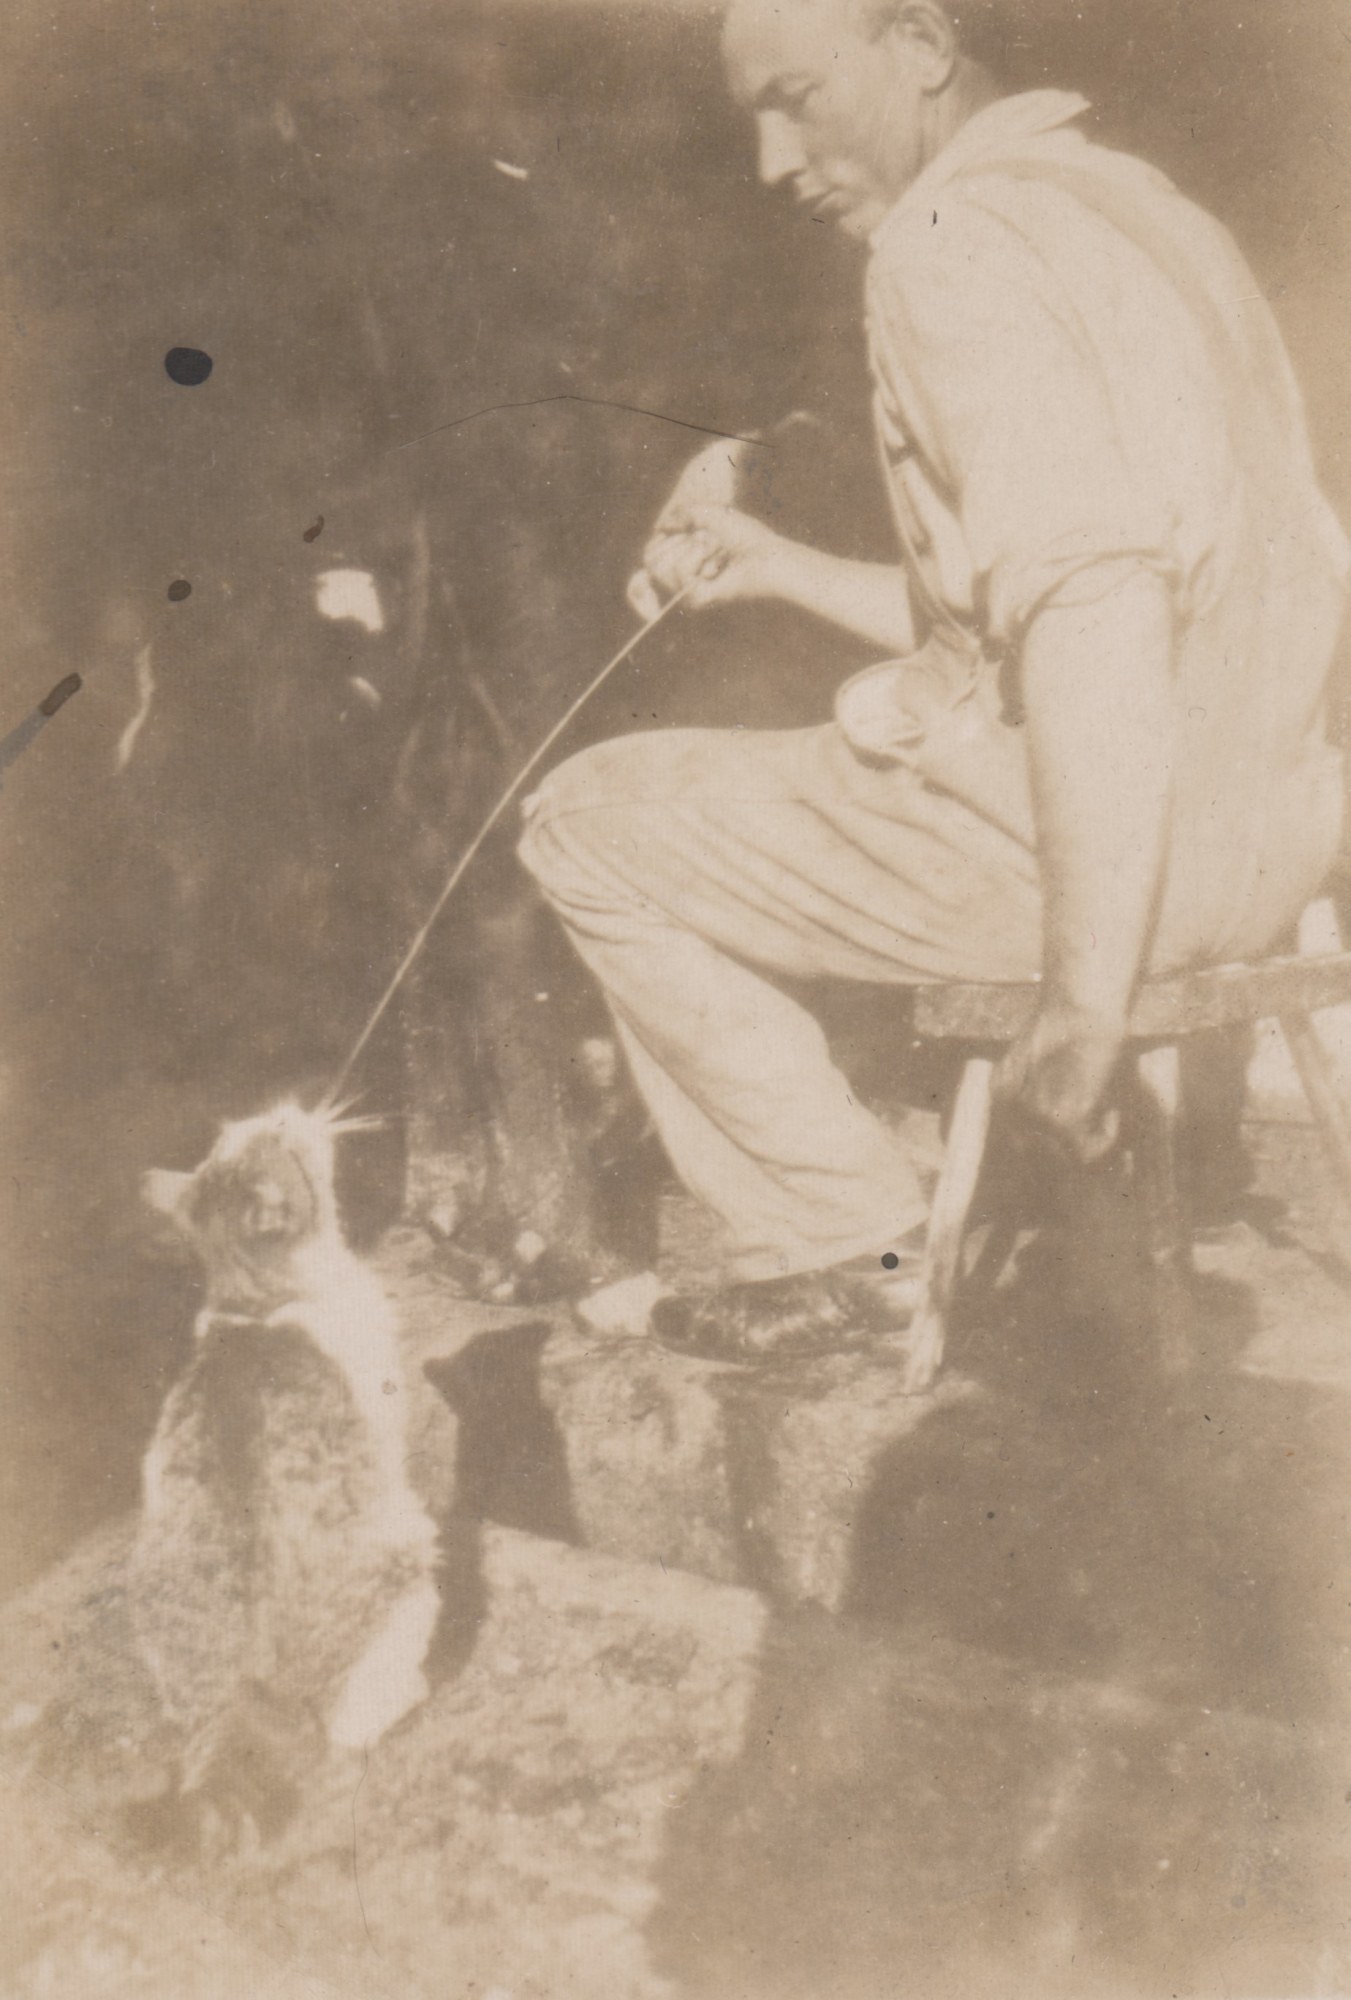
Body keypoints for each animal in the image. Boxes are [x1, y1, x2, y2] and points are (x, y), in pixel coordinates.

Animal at [126, 1099, 440, 1856]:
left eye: (250, 1129)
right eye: (278, 1136)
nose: (287, 1107)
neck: (256, 1299)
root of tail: (240, 1691)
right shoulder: (383, 1412)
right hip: (409, 1563)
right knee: (350, 1725)